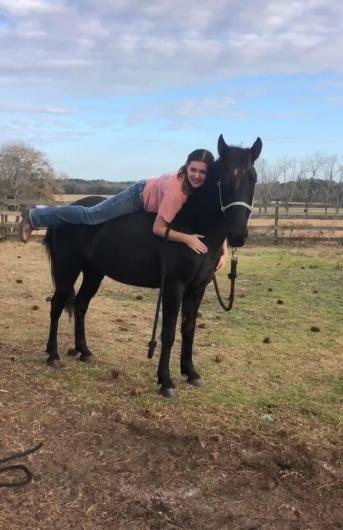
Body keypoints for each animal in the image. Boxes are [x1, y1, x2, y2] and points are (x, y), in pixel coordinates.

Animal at [43, 134, 264, 394]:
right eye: (224, 179)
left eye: (253, 178)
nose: (237, 236)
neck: (194, 226)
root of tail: (64, 212)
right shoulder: (173, 286)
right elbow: (168, 332)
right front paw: (165, 382)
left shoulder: (197, 288)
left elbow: (188, 329)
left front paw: (191, 373)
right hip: (67, 268)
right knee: (57, 304)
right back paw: (53, 355)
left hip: (94, 272)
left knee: (80, 304)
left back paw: (84, 351)